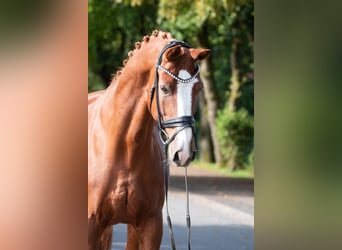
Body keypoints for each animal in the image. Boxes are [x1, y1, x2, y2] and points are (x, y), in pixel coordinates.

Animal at [88, 30, 210, 249]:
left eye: (198, 88)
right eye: (164, 88)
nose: (184, 152)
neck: (124, 150)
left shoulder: (150, 225)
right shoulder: (91, 226)